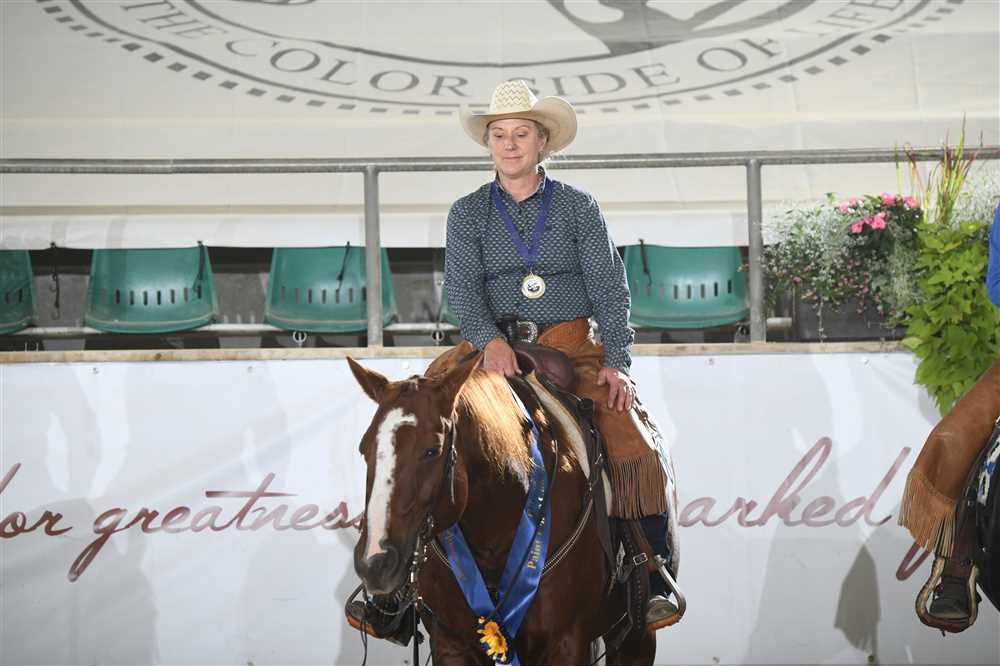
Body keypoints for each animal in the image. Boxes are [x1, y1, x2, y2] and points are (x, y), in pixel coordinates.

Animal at [347, 353, 657, 665]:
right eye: (363, 448)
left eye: (432, 450)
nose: (375, 562)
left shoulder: (568, 642)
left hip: (635, 639)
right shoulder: (449, 642)